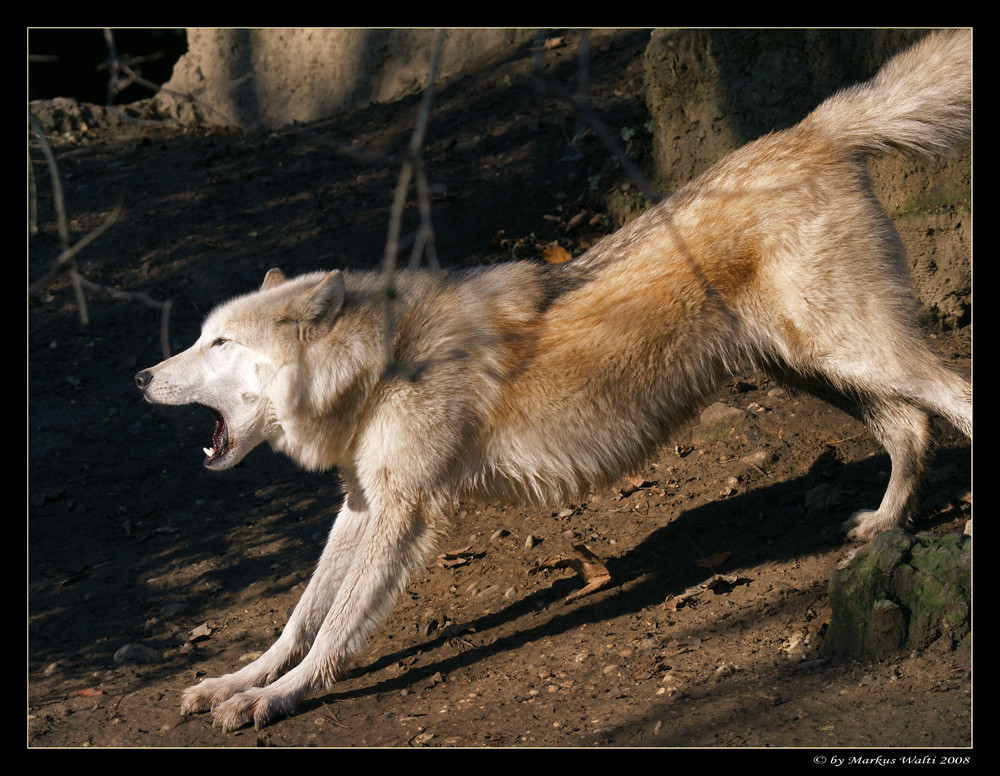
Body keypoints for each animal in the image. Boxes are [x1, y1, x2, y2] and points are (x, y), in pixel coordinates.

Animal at [137, 31, 972, 732]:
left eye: (217, 340)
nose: (142, 375)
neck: (382, 362)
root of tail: (812, 127)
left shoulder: (404, 515)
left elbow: (334, 629)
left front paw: (279, 697)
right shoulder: (362, 501)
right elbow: (299, 616)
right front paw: (241, 680)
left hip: (854, 353)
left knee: (951, 401)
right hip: (813, 366)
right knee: (912, 427)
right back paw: (884, 527)